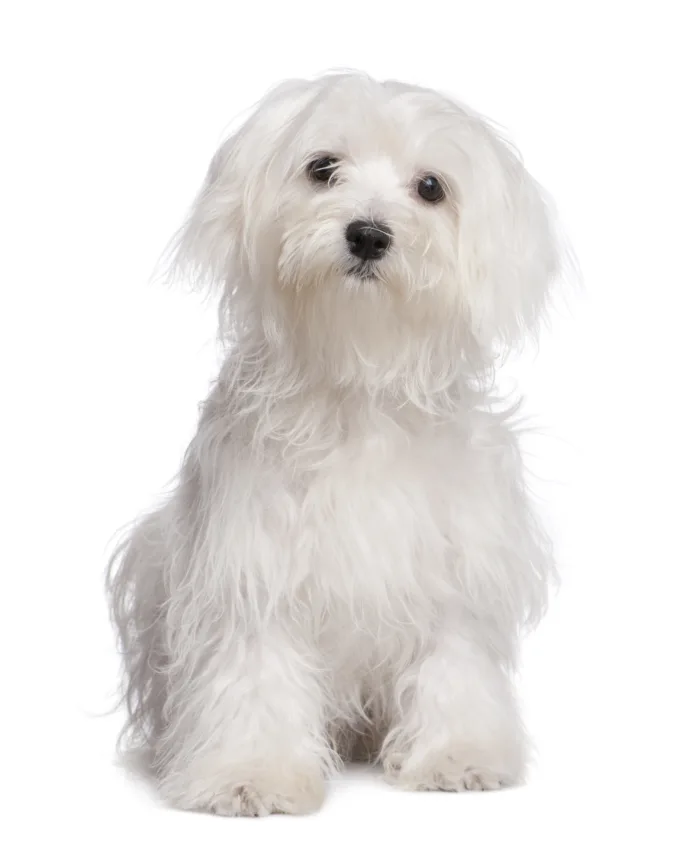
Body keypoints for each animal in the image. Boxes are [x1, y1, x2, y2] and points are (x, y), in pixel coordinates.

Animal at [110, 73, 564, 816]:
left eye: (431, 187)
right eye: (322, 168)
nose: (368, 234)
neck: (360, 377)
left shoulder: (455, 565)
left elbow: (453, 663)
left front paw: (458, 756)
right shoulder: (252, 566)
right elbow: (255, 669)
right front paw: (253, 774)